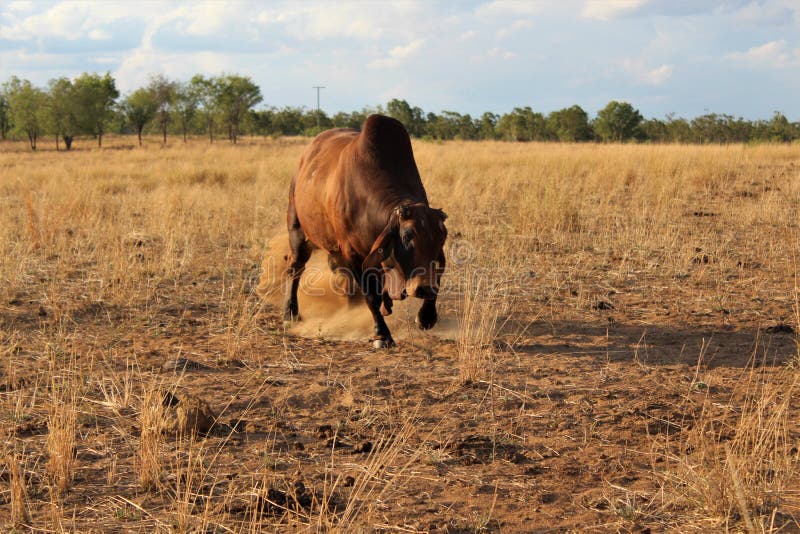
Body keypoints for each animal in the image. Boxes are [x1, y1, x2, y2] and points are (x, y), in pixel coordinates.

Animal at [282, 115, 446, 350]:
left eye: (441, 239)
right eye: (407, 237)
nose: (423, 288)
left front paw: (426, 317)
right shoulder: (353, 254)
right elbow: (371, 297)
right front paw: (381, 334)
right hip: (297, 230)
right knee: (295, 267)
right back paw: (290, 312)